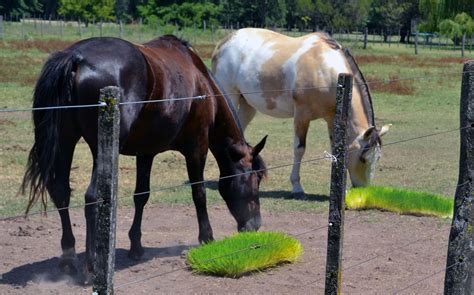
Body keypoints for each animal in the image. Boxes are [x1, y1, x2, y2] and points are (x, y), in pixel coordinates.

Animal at [21, 36, 266, 282]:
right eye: (255, 179)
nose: (255, 225)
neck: (203, 85)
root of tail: (76, 57)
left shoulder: (146, 153)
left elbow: (141, 196)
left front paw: (136, 246)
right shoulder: (197, 149)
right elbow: (199, 193)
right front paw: (207, 238)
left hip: (65, 140)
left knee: (61, 192)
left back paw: (69, 259)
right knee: (91, 197)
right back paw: (91, 265)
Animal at [213, 28, 390, 199]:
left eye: (378, 158)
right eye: (363, 158)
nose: (363, 191)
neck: (325, 70)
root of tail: (223, 43)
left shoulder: (332, 118)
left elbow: (336, 150)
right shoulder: (302, 116)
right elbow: (299, 149)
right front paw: (297, 187)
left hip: (247, 105)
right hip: (230, 97)